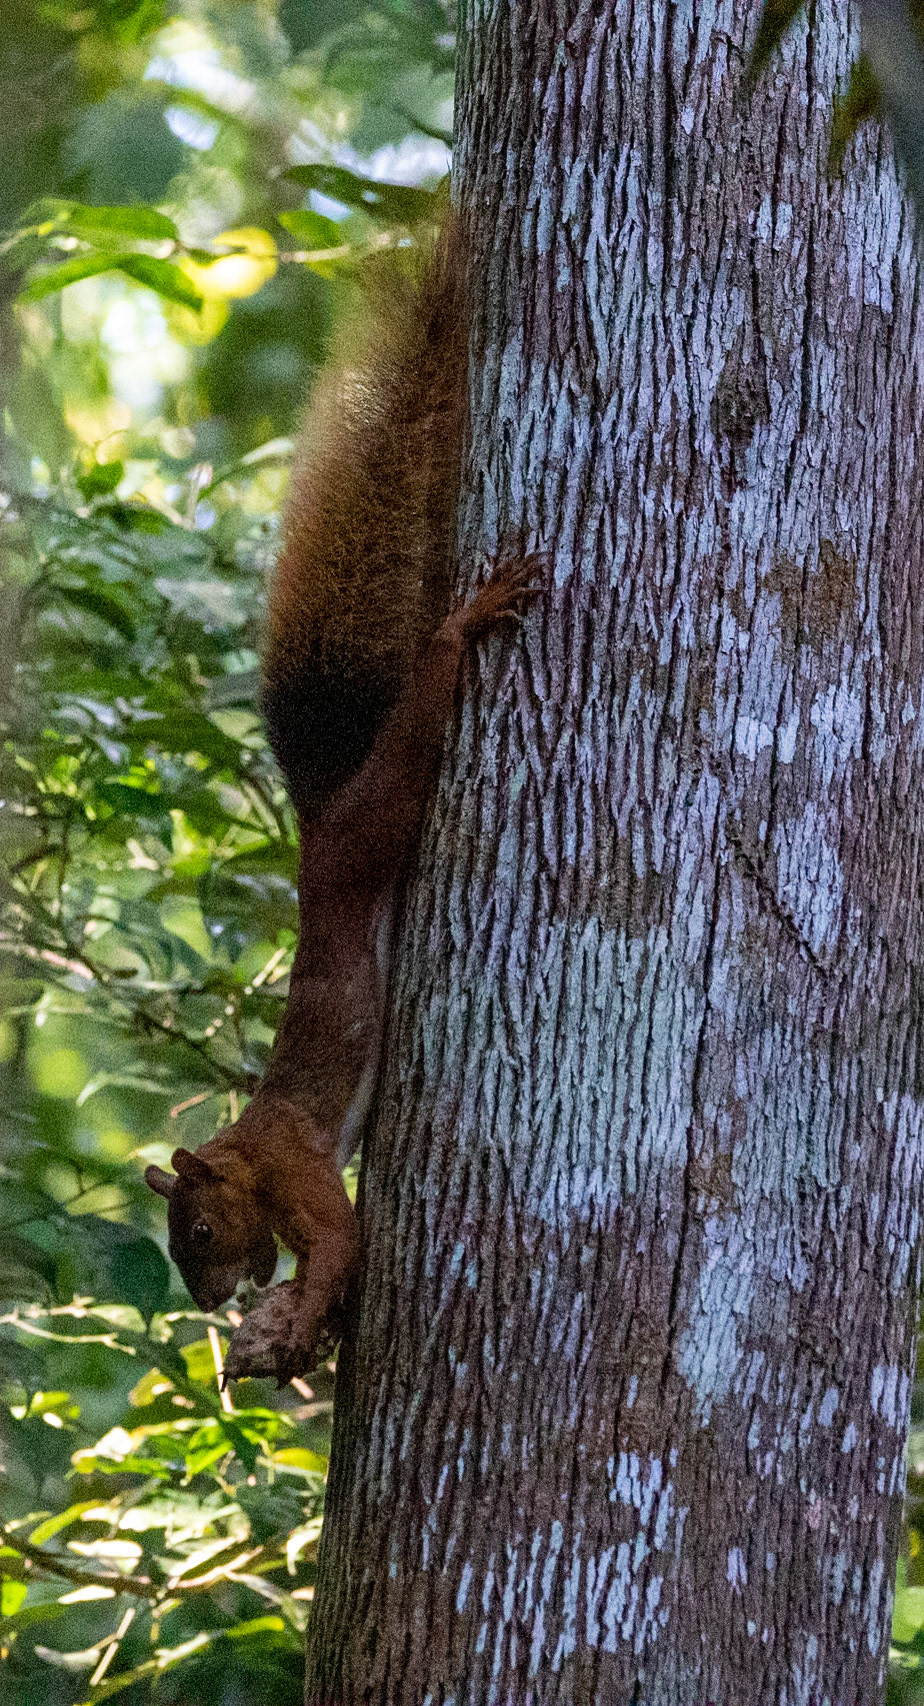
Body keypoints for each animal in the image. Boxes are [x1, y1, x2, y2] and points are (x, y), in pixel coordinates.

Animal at [145, 216, 542, 1385]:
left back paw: (469, 622)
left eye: (198, 1230)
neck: (244, 1142)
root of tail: (316, 828)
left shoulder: (294, 1169)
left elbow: (339, 1246)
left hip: (375, 822)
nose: (211, 1297)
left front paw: (299, 1323)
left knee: (415, 737)